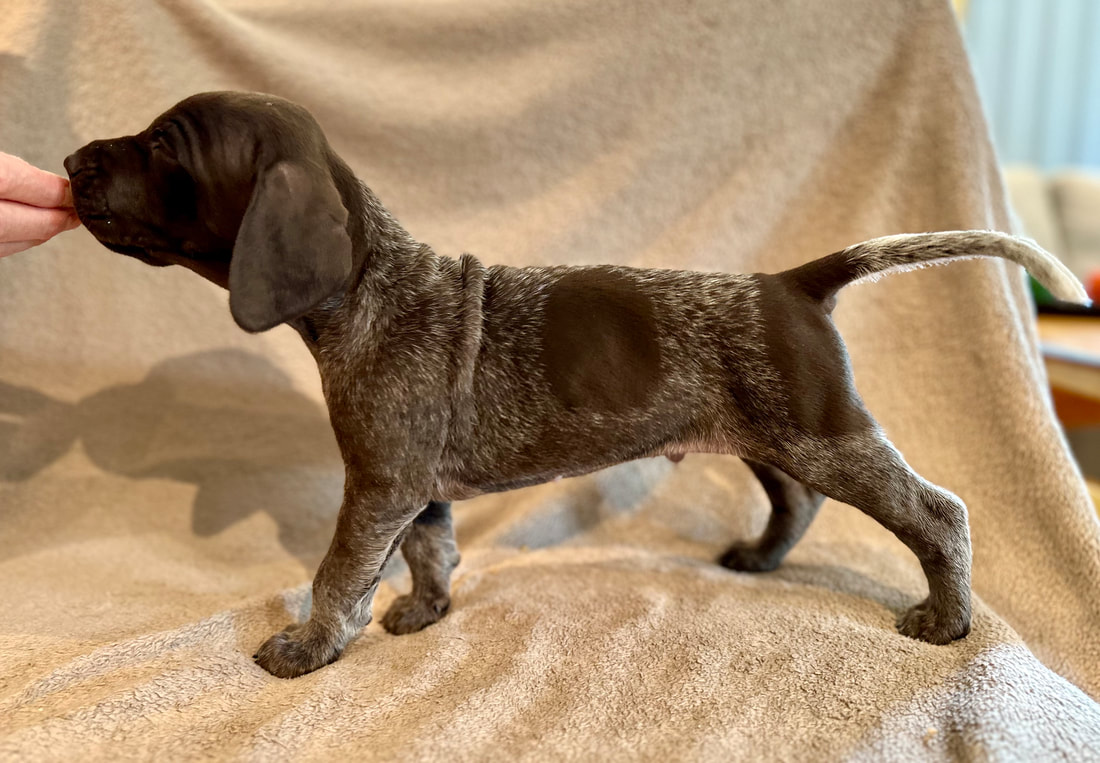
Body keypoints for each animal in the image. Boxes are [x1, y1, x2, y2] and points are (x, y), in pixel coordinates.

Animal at [63, 91, 1088, 678]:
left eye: (165, 147)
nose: (70, 161)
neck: (370, 287)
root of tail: (792, 281)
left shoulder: (379, 483)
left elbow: (339, 571)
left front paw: (311, 646)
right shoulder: (414, 485)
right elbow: (431, 550)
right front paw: (426, 612)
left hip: (824, 431)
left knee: (937, 511)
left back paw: (947, 619)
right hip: (769, 433)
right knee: (795, 501)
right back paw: (763, 558)